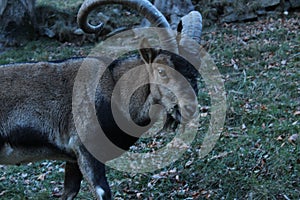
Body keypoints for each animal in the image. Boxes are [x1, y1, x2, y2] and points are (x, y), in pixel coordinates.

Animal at [0, 0, 203, 200]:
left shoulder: (73, 159)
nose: (189, 107)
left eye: (194, 70)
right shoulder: (86, 151)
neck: (115, 90)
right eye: (161, 71)